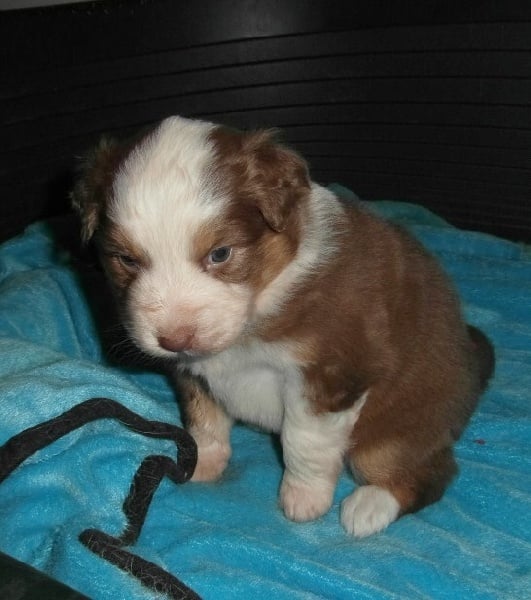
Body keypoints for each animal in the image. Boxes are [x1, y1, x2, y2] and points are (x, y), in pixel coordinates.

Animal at [72, 115, 494, 537]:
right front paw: (202, 460)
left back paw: (369, 506)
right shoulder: (194, 368)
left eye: (220, 254)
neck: (263, 296)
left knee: (430, 472)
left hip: (392, 436)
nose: (174, 339)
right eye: (127, 259)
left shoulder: (330, 376)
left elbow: (303, 442)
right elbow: (203, 416)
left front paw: (304, 499)